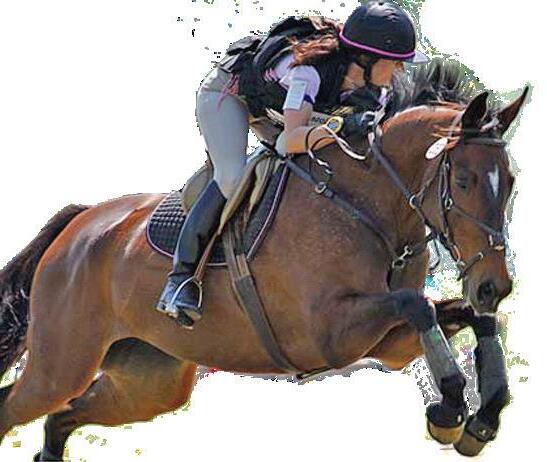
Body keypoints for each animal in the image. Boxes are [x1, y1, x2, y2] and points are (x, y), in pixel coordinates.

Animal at [0, 62, 527, 460]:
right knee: (19, 405)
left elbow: (469, 317)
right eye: (463, 180)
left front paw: (481, 416)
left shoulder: (388, 343)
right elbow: (417, 306)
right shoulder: (331, 333)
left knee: (61, 418)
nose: (494, 285)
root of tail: (81, 220)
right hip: (61, 366)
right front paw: (450, 410)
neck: (367, 205)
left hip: (149, 383)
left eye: (511, 181)